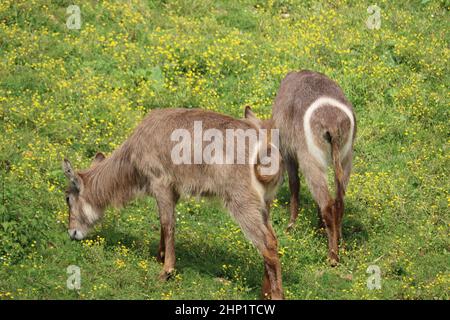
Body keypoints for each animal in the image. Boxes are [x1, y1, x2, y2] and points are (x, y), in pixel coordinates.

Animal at [62, 107, 284, 300]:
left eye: (67, 198)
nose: (72, 232)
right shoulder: (172, 191)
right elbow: (163, 224)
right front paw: (159, 256)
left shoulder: (161, 183)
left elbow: (168, 224)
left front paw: (165, 271)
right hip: (264, 204)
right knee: (271, 239)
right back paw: (265, 292)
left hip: (241, 202)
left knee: (267, 243)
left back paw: (275, 295)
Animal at [272, 71, 356, 266]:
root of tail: (332, 123)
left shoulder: (288, 152)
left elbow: (294, 185)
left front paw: (291, 225)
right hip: (345, 160)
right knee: (338, 202)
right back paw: (339, 243)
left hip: (310, 161)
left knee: (327, 204)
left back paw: (332, 257)